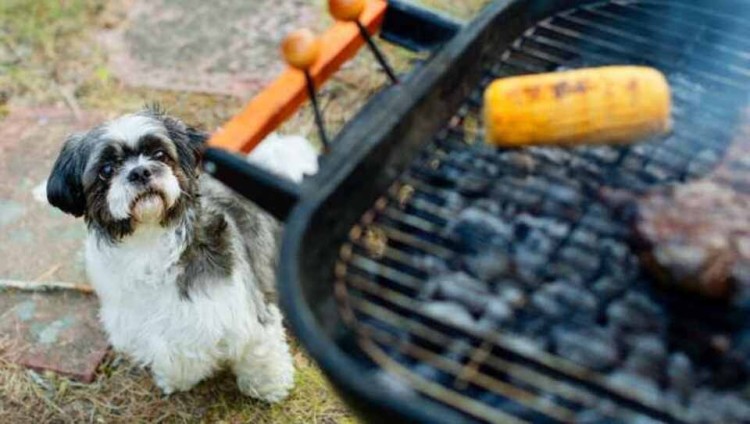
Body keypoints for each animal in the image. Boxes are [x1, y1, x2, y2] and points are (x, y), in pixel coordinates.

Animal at [46, 106, 318, 400]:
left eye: (159, 155)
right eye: (106, 170)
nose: (140, 172)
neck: (149, 243)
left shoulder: (243, 310)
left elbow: (259, 351)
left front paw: (269, 386)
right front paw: (177, 380)